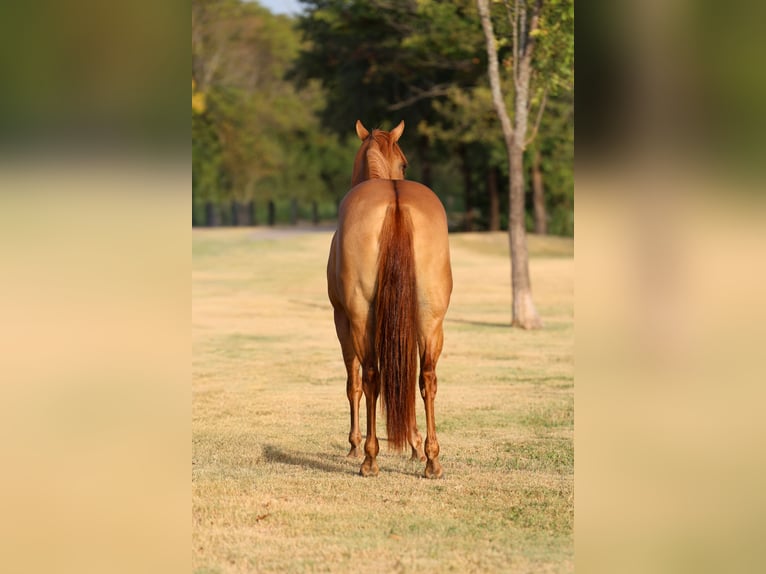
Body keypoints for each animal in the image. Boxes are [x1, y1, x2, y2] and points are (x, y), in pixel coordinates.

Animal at [326, 120, 452, 478]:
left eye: (404, 163)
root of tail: (395, 201)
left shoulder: (341, 320)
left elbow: (353, 382)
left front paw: (354, 445)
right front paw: (414, 445)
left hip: (359, 317)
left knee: (371, 377)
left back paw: (369, 458)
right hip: (430, 318)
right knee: (426, 378)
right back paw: (432, 460)